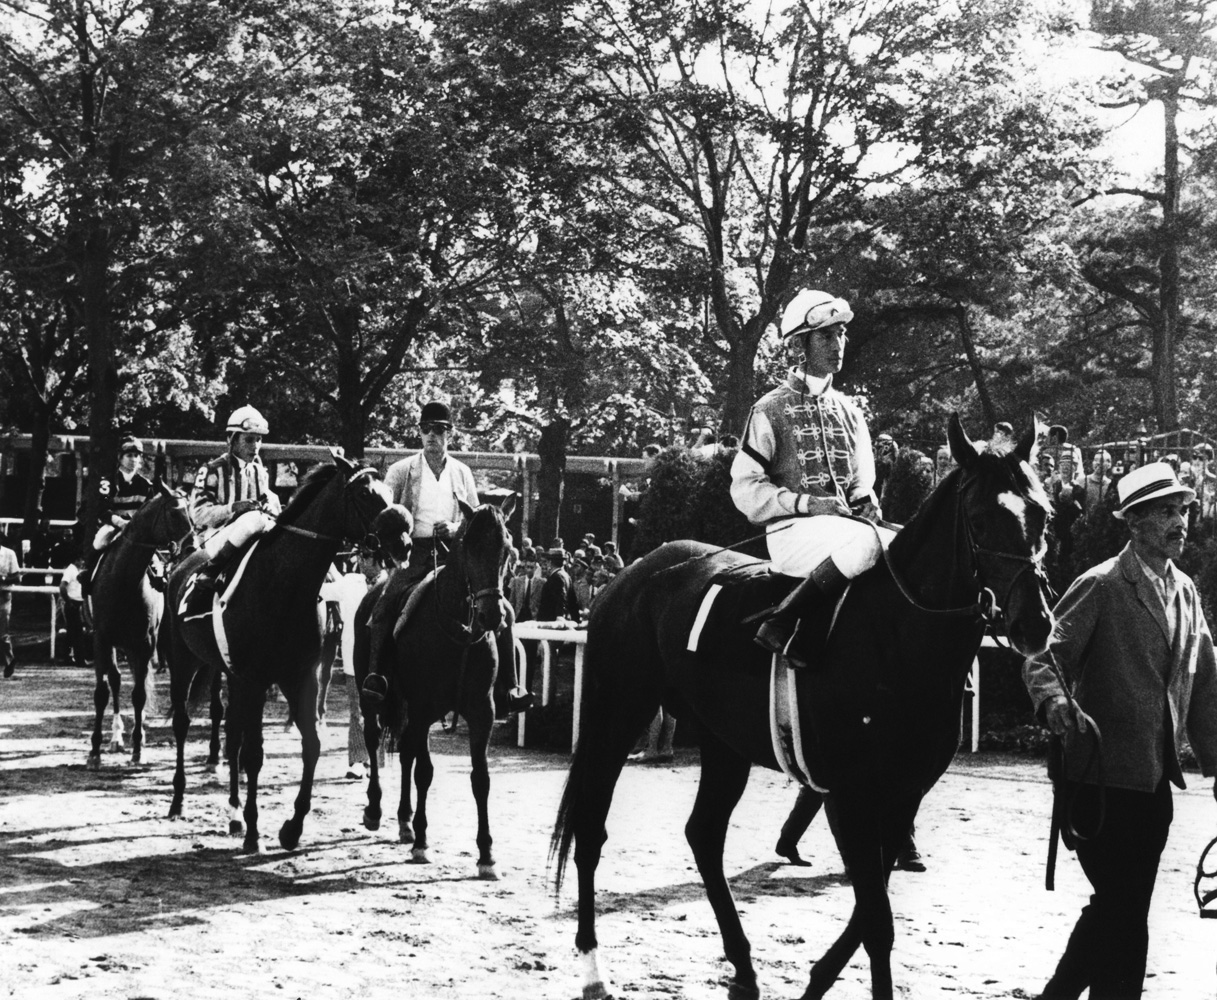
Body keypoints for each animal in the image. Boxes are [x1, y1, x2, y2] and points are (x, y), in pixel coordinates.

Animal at [87, 481, 191, 773]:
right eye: (175, 513)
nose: (193, 546)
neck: (124, 579)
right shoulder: (101, 640)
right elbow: (102, 693)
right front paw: (94, 752)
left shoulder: (144, 644)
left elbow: (139, 694)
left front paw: (137, 750)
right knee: (115, 680)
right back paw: (115, 737)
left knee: (138, 684)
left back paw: (137, 735)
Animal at [158, 454, 384, 851]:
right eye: (364, 492)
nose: (402, 535)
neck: (283, 583)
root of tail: (181, 565)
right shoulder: (255, 679)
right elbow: (254, 754)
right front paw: (254, 833)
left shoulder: (299, 676)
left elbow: (311, 745)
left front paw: (291, 827)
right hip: (183, 660)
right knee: (183, 722)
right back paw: (179, 800)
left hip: (227, 673)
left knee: (231, 733)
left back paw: (233, 814)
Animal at [355, 498, 518, 875]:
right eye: (469, 546)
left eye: (507, 548)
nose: (492, 615)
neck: (458, 630)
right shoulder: (423, 707)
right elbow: (425, 772)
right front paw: (422, 841)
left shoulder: (482, 711)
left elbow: (480, 778)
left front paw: (486, 854)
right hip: (372, 694)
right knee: (373, 737)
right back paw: (376, 811)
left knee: (405, 753)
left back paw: (404, 820)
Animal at [552, 416, 1056, 1000]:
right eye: (978, 519)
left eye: (1043, 513)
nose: (1034, 624)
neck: (896, 636)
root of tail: (634, 570)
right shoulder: (850, 794)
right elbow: (876, 923)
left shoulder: (902, 793)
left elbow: (870, 910)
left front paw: (817, 979)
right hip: (616, 713)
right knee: (590, 829)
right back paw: (593, 969)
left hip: (723, 741)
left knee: (703, 834)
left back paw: (744, 968)